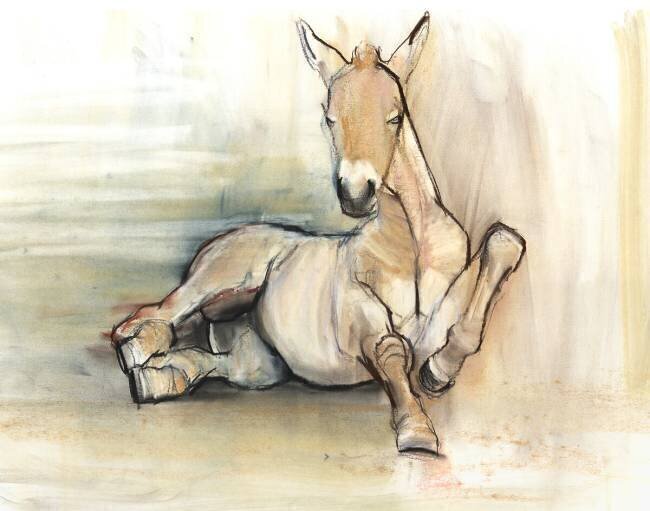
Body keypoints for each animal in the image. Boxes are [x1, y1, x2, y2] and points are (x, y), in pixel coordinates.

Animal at [111, 12, 526, 455]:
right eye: (329, 117)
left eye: (395, 115)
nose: (356, 192)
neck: (414, 246)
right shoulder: (355, 310)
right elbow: (390, 349)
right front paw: (416, 429)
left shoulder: (447, 301)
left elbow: (503, 245)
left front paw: (437, 372)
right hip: (219, 281)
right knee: (150, 317)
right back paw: (138, 350)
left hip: (260, 361)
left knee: (212, 360)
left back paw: (158, 378)